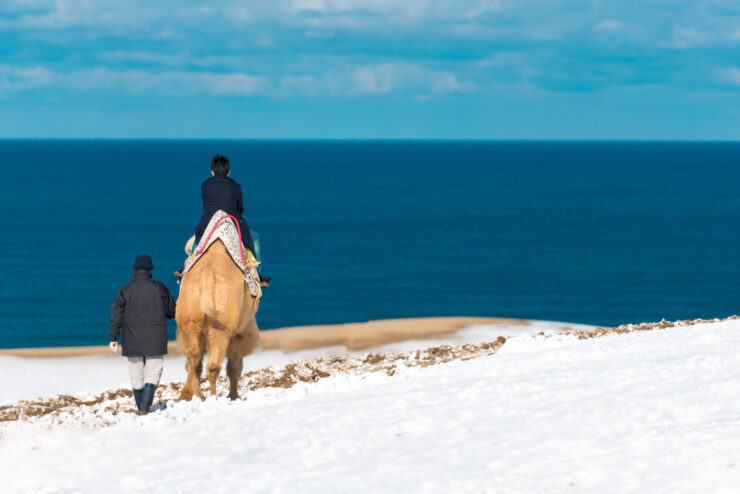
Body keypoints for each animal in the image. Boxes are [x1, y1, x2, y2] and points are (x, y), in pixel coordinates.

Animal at [176, 236, 260, 402]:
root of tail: (207, 273)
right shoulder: (241, 332)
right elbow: (235, 366)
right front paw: (233, 396)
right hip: (222, 325)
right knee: (214, 365)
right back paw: (213, 398)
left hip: (189, 319)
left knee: (194, 357)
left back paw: (196, 395)